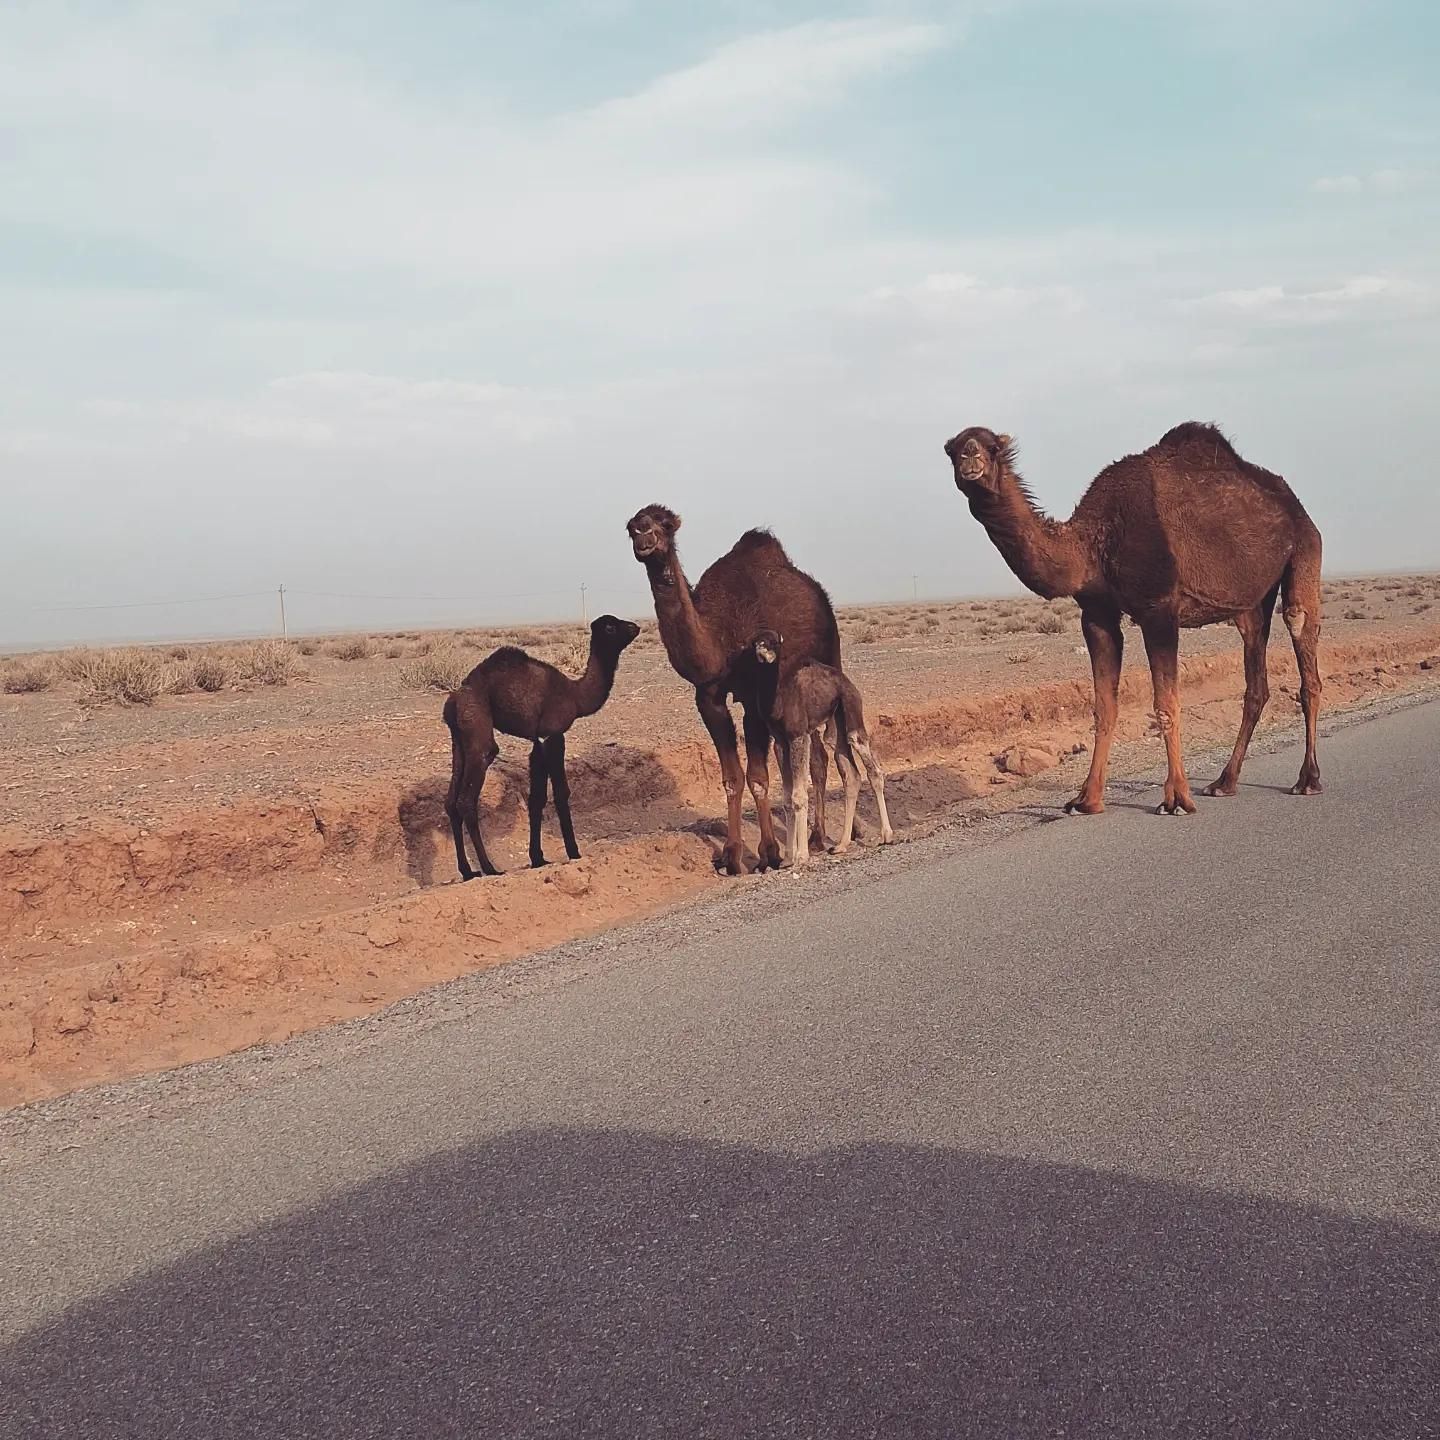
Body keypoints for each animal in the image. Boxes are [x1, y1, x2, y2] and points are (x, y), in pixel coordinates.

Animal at [440, 610, 639, 875]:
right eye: (610, 627)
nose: (635, 627)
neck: (576, 695)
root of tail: (454, 700)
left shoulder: (537, 742)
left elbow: (537, 798)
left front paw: (538, 858)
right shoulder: (553, 734)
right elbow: (561, 793)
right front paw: (574, 853)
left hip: (459, 739)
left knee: (451, 802)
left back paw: (467, 871)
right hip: (477, 728)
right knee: (467, 800)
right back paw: (490, 868)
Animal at [624, 506, 840, 869]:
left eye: (664, 525)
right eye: (630, 528)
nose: (643, 538)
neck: (719, 637)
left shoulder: (755, 697)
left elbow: (758, 777)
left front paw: (769, 853)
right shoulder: (708, 695)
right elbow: (732, 778)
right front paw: (731, 855)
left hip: (829, 657)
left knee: (821, 755)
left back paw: (818, 837)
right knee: (816, 754)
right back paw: (813, 835)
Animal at [754, 624, 887, 858]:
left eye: (774, 642)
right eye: (756, 641)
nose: (761, 650)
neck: (778, 698)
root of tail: (846, 681)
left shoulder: (799, 735)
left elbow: (799, 795)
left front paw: (801, 856)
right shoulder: (780, 741)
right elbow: (787, 799)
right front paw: (788, 856)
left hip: (851, 706)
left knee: (866, 757)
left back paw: (886, 835)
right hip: (835, 723)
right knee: (850, 773)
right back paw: (841, 845)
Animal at [938, 420, 1319, 817]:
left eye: (992, 447)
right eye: (952, 449)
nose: (970, 456)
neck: (1093, 541)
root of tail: (1295, 505)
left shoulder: (1159, 608)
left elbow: (1166, 705)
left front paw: (1177, 798)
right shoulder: (1097, 614)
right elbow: (1104, 707)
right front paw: (1086, 799)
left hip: (1305, 549)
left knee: (1301, 637)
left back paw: (1307, 780)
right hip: (1251, 602)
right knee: (1256, 675)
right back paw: (1223, 782)